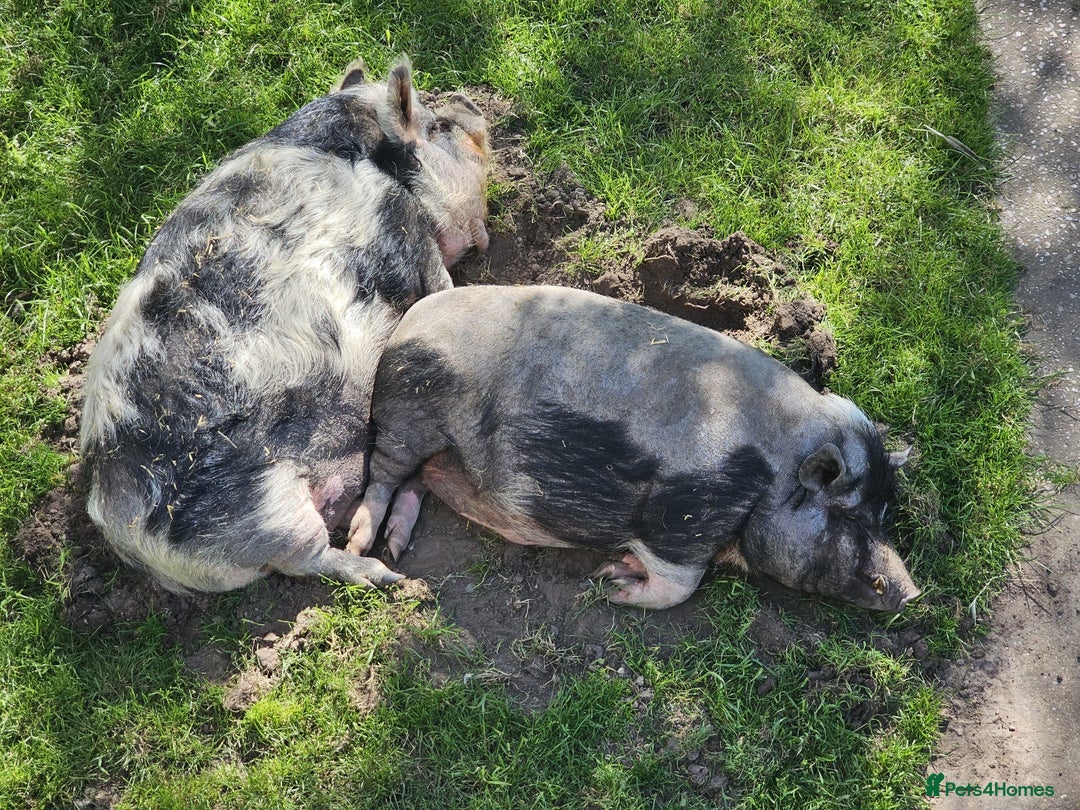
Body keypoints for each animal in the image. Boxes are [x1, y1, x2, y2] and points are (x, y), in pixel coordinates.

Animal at [79, 56, 489, 593]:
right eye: (438, 125)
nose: (470, 102)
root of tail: (122, 525)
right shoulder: (410, 235)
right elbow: (441, 289)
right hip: (267, 512)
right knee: (310, 560)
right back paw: (386, 574)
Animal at [347, 285, 920, 612]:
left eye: (883, 515)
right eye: (846, 516)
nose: (913, 593)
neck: (769, 473)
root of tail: (410, 319)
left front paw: (612, 574)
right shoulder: (683, 517)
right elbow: (680, 585)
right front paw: (611, 584)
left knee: (416, 483)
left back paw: (396, 547)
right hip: (410, 410)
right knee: (384, 473)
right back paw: (363, 546)